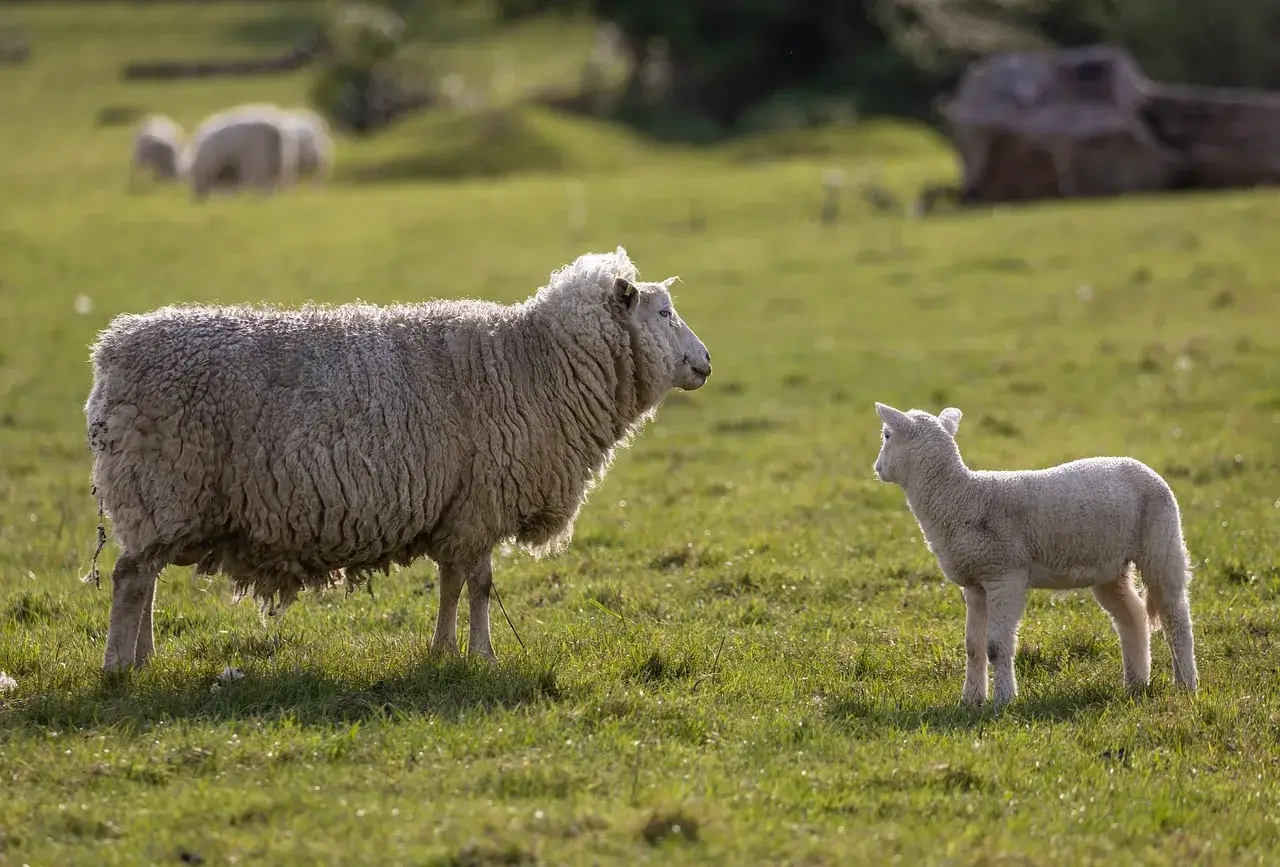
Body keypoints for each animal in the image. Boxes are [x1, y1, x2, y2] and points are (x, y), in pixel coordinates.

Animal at [85, 243, 716, 671]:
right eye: (663, 314)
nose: (707, 362)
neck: (534, 363)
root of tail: (111, 350)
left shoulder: (458, 507)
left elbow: (451, 583)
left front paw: (442, 650)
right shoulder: (482, 502)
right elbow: (480, 585)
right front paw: (483, 654)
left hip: (160, 501)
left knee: (146, 577)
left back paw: (143, 657)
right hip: (159, 486)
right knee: (130, 578)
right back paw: (119, 667)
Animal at [870, 402, 1198, 706]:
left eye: (886, 435)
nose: (877, 468)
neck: (960, 497)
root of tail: (1145, 468)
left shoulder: (1004, 575)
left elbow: (995, 646)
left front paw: (1003, 701)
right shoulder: (975, 583)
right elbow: (973, 647)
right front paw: (971, 701)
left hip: (1161, 542)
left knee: (1176, 617)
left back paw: (1186, 684)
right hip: (1110, 567)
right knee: (1132, 617)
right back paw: (1136, 683)